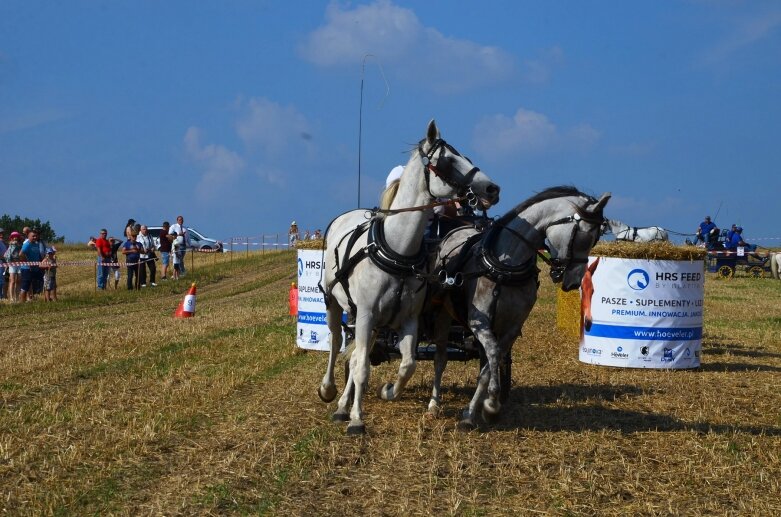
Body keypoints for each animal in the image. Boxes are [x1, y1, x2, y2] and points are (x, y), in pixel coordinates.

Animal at [316, 119, 500, 434]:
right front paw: (357, 419)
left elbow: (408, 364)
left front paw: (389, 390)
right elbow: (361, 366)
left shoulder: (407, 319)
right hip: (336, 303)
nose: (492, 188)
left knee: (358, 354)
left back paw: (343, 404)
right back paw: (331, 393)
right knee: (337, 342)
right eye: (448, 161)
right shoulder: (366, 314)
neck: (397, 251)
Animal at [424, 185, 608, 428]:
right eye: (585, 238)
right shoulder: (479, 321)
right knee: (440, 358)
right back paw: (433, 405)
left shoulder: (511, 328)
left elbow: (489, 367)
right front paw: (489, 405)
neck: (506, 266)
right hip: (444, 314)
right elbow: (492, 354)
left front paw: (479, 410)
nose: (575, 282)